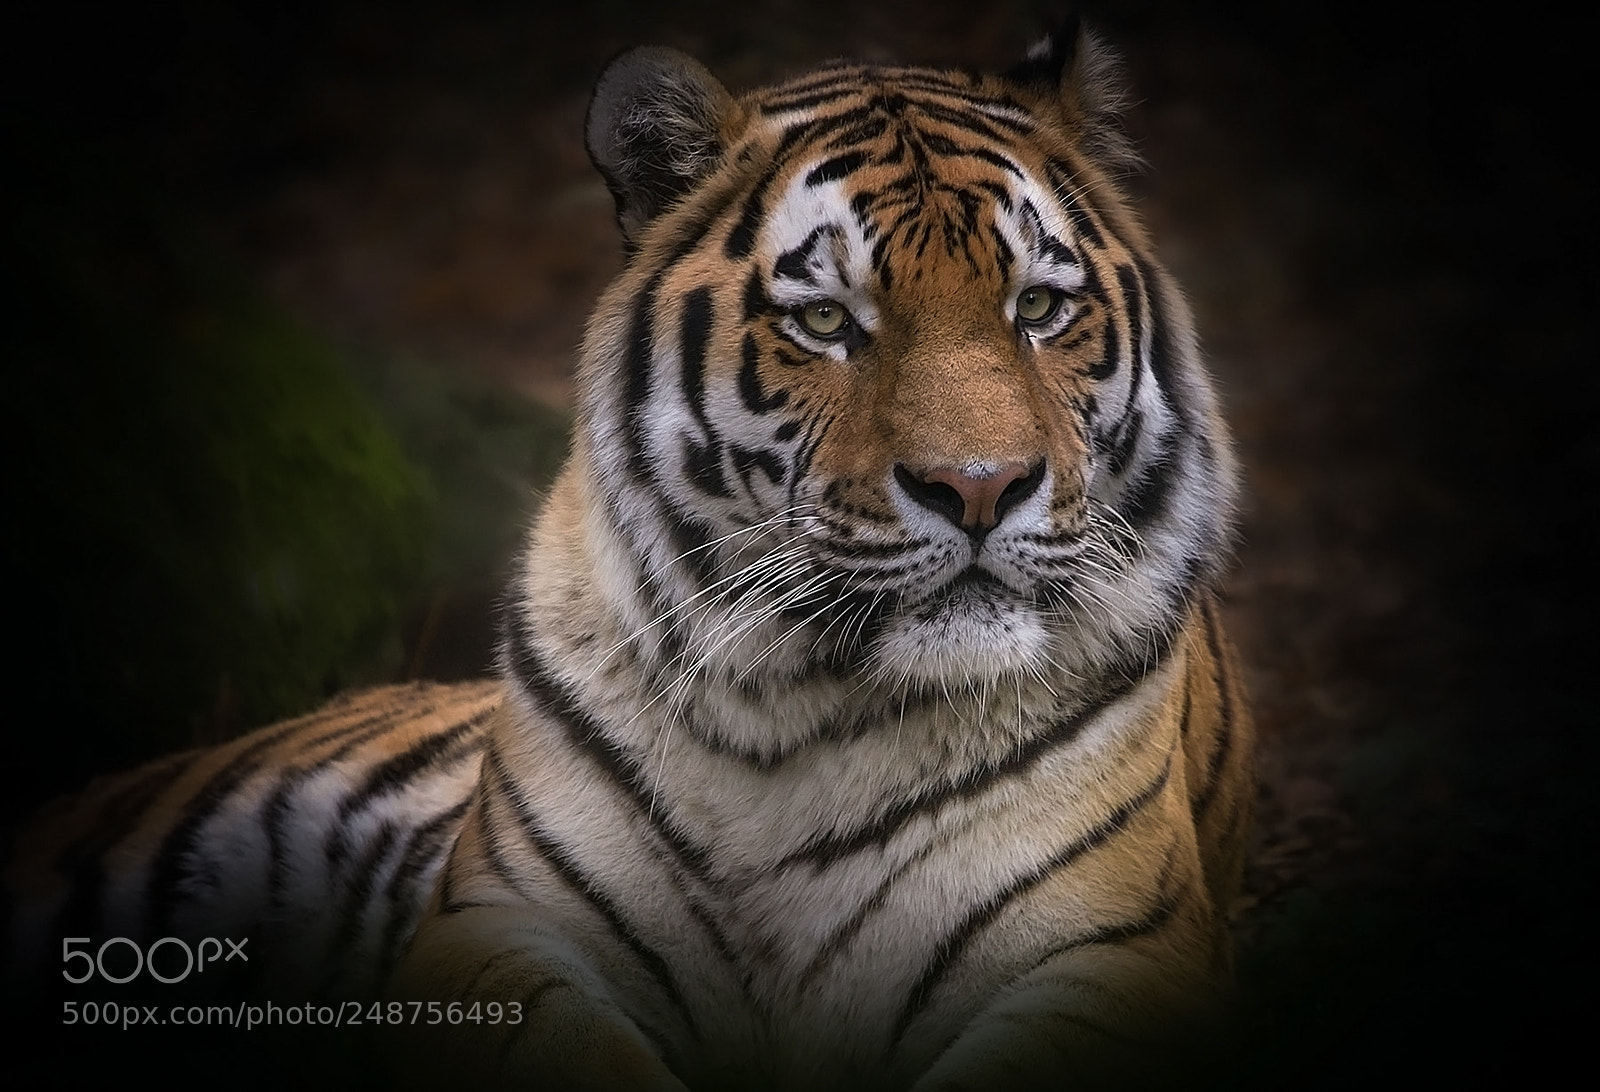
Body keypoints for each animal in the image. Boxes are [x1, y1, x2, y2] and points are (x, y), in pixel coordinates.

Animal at [4, 13, 1251, 1092]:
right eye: (826, 322)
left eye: (1037, 308)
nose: (980, 489)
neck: (799, 719)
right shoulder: (496, 923)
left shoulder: (1113, 952)